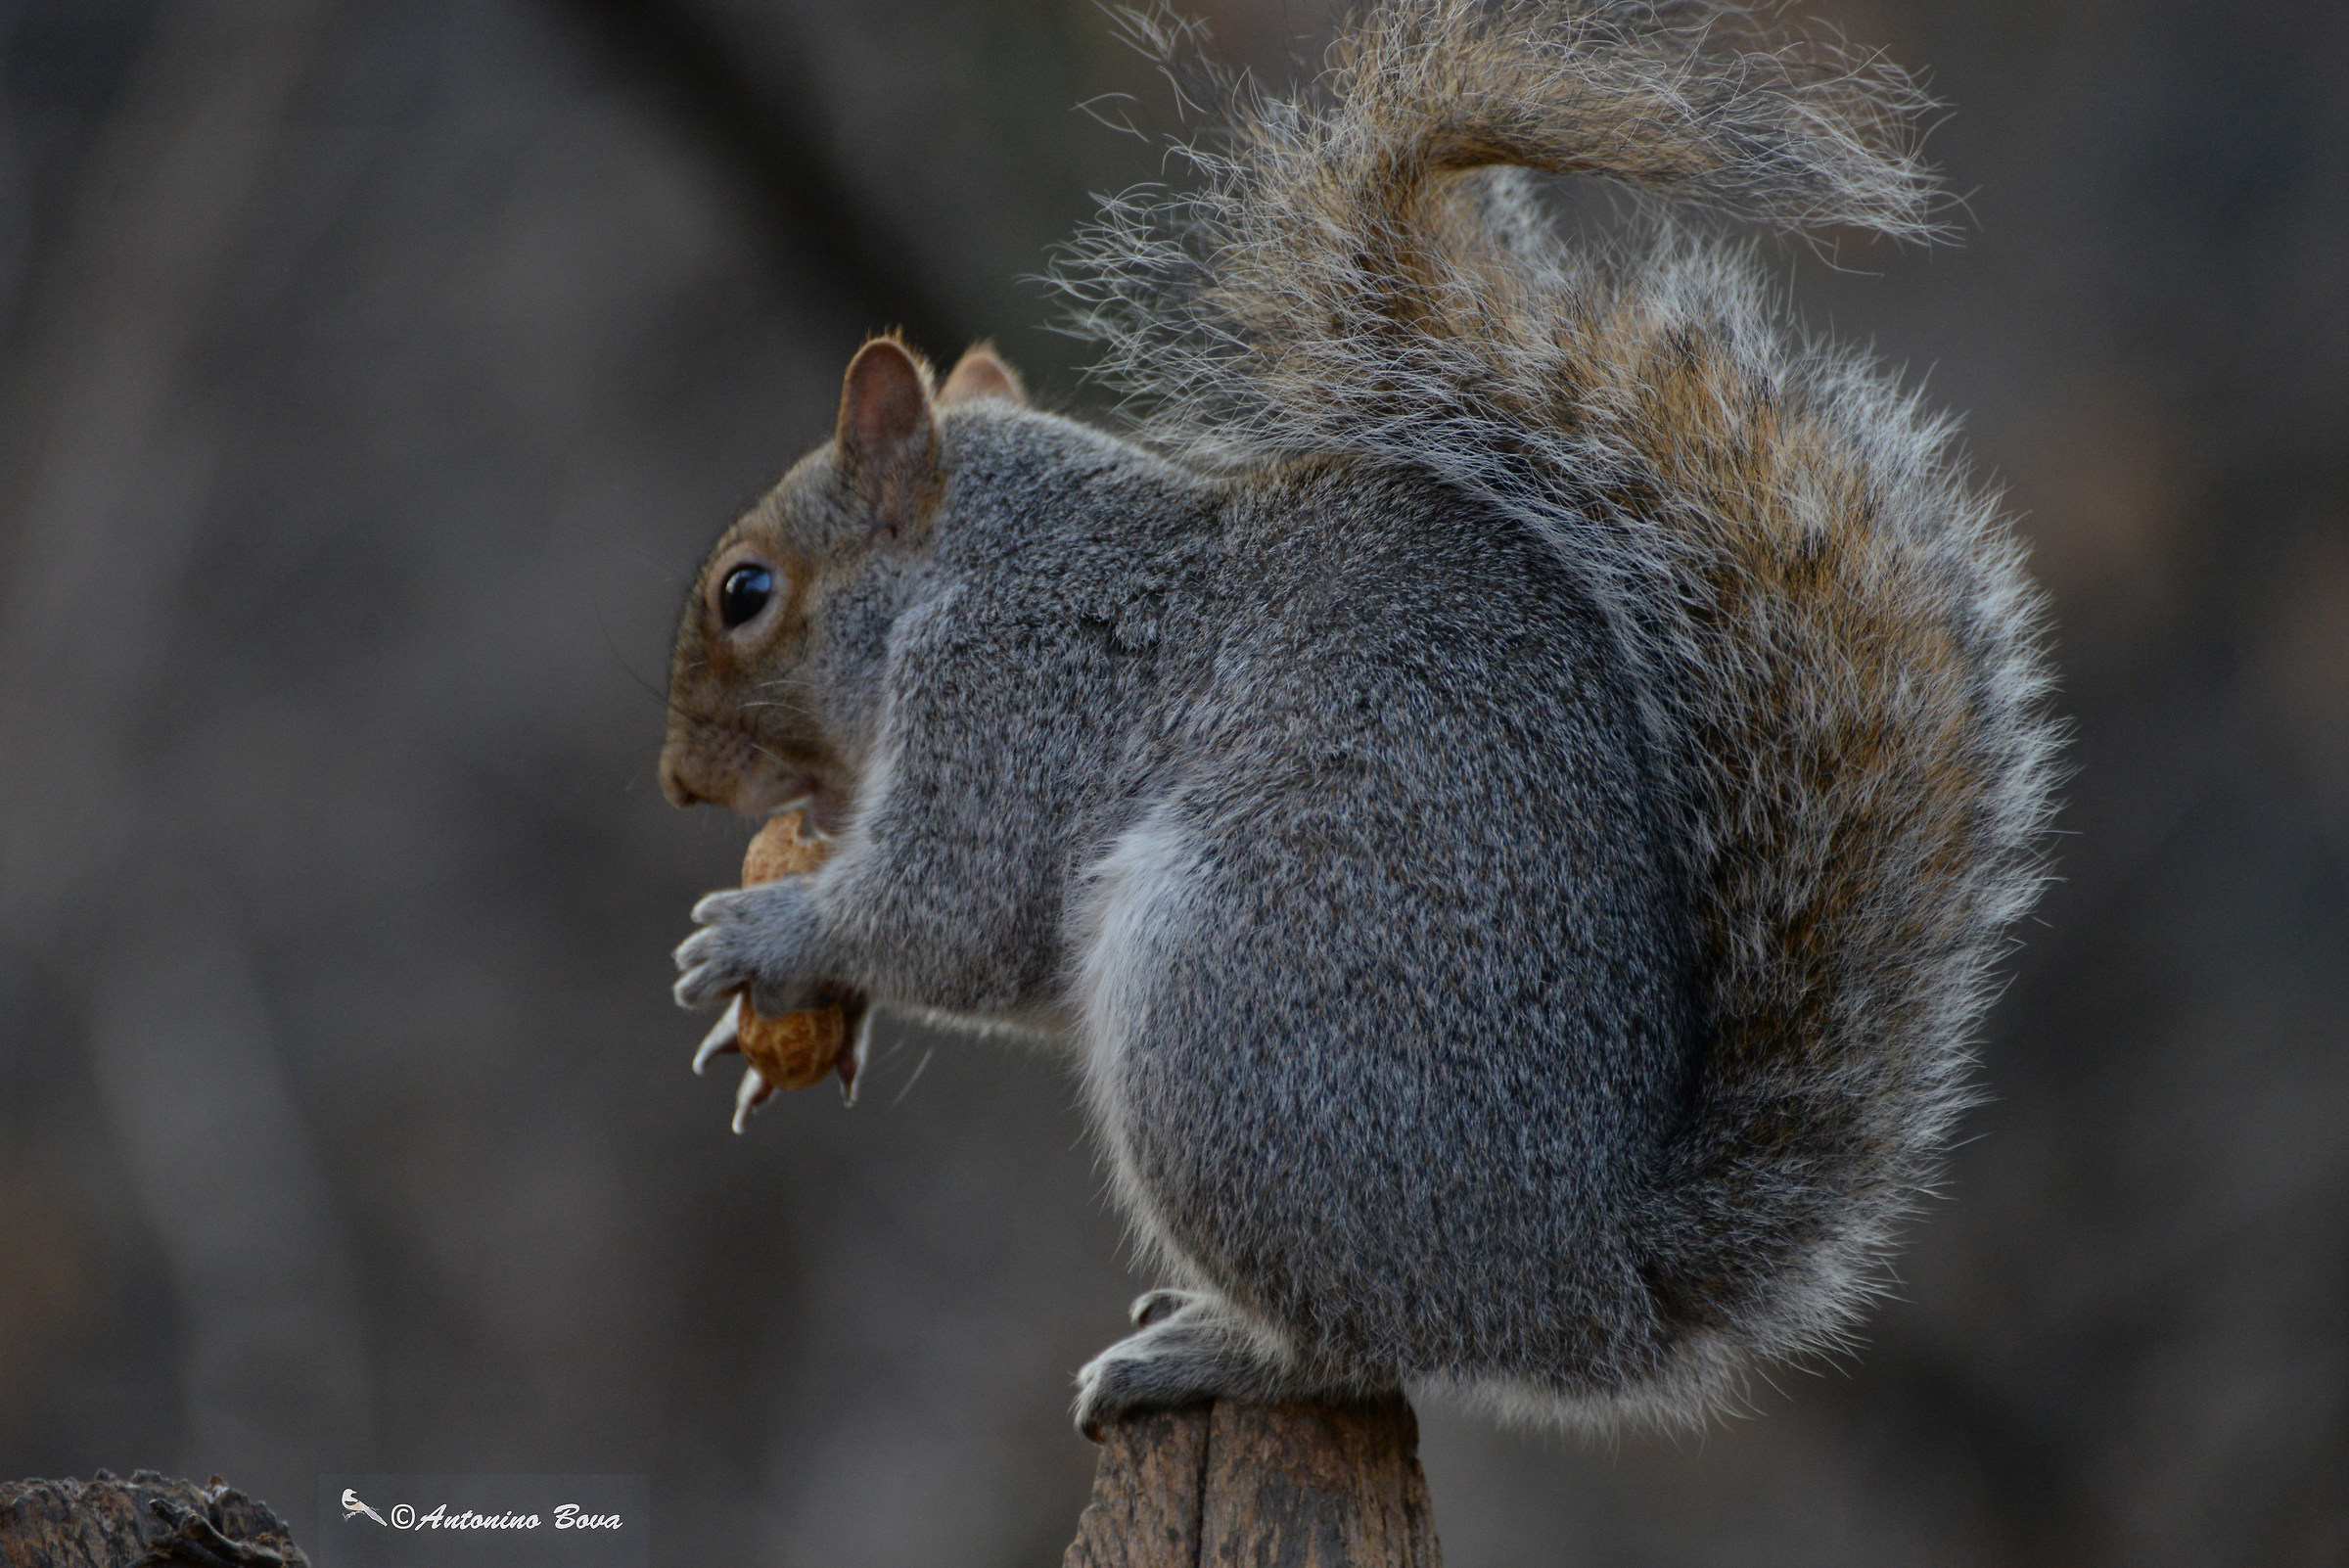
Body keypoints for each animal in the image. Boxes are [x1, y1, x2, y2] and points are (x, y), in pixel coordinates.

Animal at [661, 0, 2057, 1437]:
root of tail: (1596, 1288)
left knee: (1355, 1345)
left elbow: (953, 909)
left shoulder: (1013, 699)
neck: (976, 560)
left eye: (745, 592)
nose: (678, 778)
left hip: (1228, 1028)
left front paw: (761, 932)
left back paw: (1207, 1350)